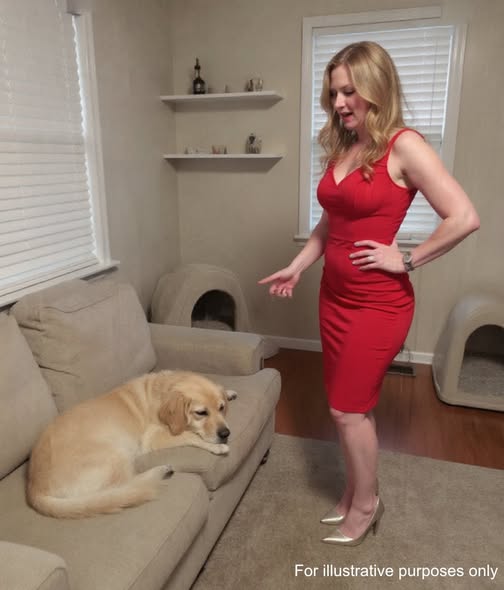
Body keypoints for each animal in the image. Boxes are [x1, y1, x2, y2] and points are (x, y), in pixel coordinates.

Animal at [27, 370, 237, 519]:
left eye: (221, 408)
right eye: (201, 413)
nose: (226, 433)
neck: (162, 392)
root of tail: (34, 488)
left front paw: (229, 392)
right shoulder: (155, 438)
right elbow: (191, 436)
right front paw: (217, 447)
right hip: (115, 454)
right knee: (126, 486)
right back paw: (159, 471)